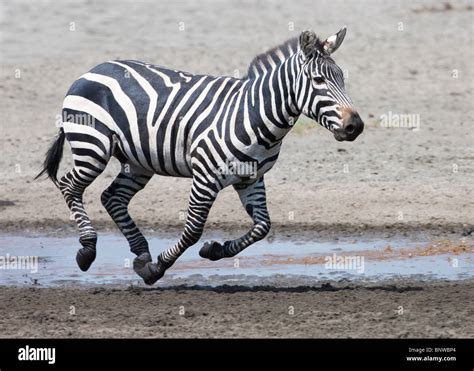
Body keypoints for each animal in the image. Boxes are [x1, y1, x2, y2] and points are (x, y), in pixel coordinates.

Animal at [36, 28, 362, 284]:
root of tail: (94, 68)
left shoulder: (251, 179)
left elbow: (261, 227)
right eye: (318, 80)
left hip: (138, 162)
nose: (355, 126)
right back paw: (88, 249)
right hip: (93, 146)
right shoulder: (205, 177)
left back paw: (140, 252)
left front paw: (214, 250)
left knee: (112, 197)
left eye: (342, 78)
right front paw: (157, 268)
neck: (255, 114)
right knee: (70, 186)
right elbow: (193, 229)